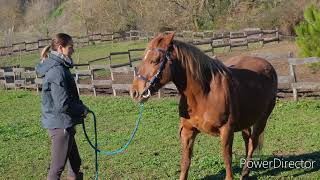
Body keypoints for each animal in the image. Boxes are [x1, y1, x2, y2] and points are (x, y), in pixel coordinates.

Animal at [132, 32, 278, 180]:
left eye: (155, 60)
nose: (135, 91)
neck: (203, 95)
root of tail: (268, 65)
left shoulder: (226, 131)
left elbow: (227, 159)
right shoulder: (188, 131)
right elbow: (185, 162)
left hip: (262, 119)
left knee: (253, 142)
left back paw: (245, 172)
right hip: (245, 120)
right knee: (247, 139)